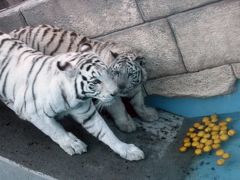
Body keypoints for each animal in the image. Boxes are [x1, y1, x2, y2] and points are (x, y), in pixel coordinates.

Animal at [0, 32, 143, 162]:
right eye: (96, 81)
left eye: (109, 72)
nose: (116, 92)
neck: (75, 98)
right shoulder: (35, 114)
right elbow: (55, 131)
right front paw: (72, 144)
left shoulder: (87, 113)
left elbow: (106, 132)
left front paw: (127, 150)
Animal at [10, 24, 159, 133]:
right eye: (116, 73)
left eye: (130, 74)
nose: (120, 87)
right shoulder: (109, 95)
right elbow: (119, 109)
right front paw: (126, 125)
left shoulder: (135, 88)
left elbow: (139, 103)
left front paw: (148, 115)